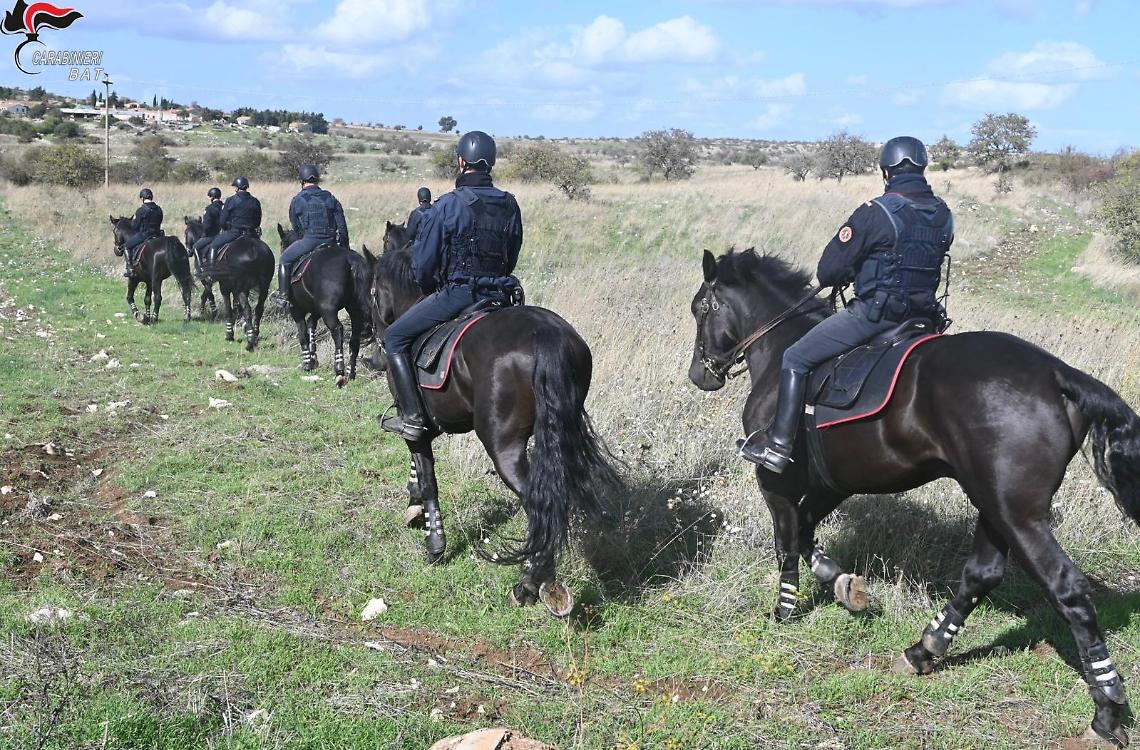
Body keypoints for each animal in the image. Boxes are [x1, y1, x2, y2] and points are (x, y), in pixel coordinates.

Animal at [185, 220, 275, 351]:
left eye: (185, 232)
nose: (188, 251)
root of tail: (254, 250)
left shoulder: (220, 285)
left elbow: (220, 302)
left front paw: (227, 331)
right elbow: (233, 304)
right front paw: (241, 323)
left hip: (242, 287)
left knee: (247, 309)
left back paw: (249, 341)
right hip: (264, 287)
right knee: (258, 309)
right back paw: (255, 333)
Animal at [276, 224, 372, 387]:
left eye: (282, 244)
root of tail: (350, 260)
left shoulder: (296, 309)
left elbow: (303, 333)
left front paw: (307, 362)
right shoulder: (316, 310)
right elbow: (311, 326)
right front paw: (313, 358)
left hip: (328, 310)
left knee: (337, 330)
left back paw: (339, 370)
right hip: (354, 310)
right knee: (354, 338)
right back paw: (350, 372)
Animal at [364, 242, 622, 616]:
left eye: (370, 291)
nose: (373, 354)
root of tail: (544, 333)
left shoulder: (416, 426)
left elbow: (426, 477)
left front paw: (434, 543)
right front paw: (414, 509)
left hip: (504, 446)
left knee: (540, 503)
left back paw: (528, 585)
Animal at [688, 247, 1140, 747]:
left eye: (700, 308)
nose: (700, 375)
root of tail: (1054, 372)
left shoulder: (776, 480)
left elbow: (786, 543)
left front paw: (785, 610)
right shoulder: (832, 483)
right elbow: (806, 535)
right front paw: (844, 586)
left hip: (1017, 514)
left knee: (1067, 590)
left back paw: (1107, 711)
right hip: (993, 504)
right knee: (981, 575)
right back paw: (924, 650)